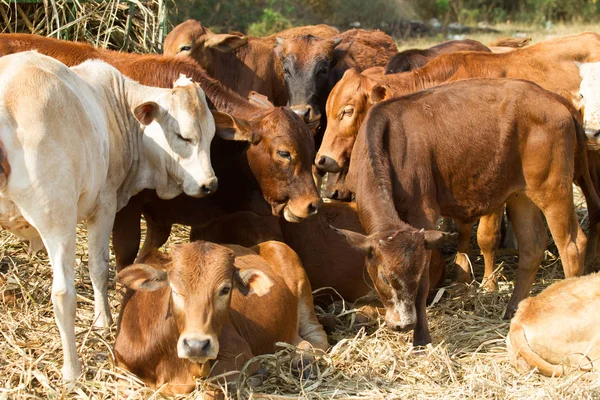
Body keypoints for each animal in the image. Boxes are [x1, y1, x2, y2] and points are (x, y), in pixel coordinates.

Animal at [0, 34, 324, 270]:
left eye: (311, 149)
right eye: (284, 153)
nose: (312, 205)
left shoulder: (160, 214)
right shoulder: (127, 206)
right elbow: (127, 252)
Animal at [0, 51, 223, 380]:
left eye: (211, 136)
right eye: (183, 136)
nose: (210, 184)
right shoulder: (104, 204)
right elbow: (99, 267)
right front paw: (103, 320)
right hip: (58, 219)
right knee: (63, 294)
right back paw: (72, 370)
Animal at [112, 239, 328, 396]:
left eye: (225, 289)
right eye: (174, 289)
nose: (196, 345)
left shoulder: (237, 353)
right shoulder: (121, 366)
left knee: (315, 335)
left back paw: (303, 362)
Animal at [332, 79, 596, 346]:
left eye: (415, 273)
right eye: (385, 277)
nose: (404, 324)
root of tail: (553, 98)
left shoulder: (424, 214)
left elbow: (425, 282)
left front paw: (421, 338)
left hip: (552, 188)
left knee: (572, 245)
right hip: (522, 194)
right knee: (532, 246)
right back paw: (511, 309)